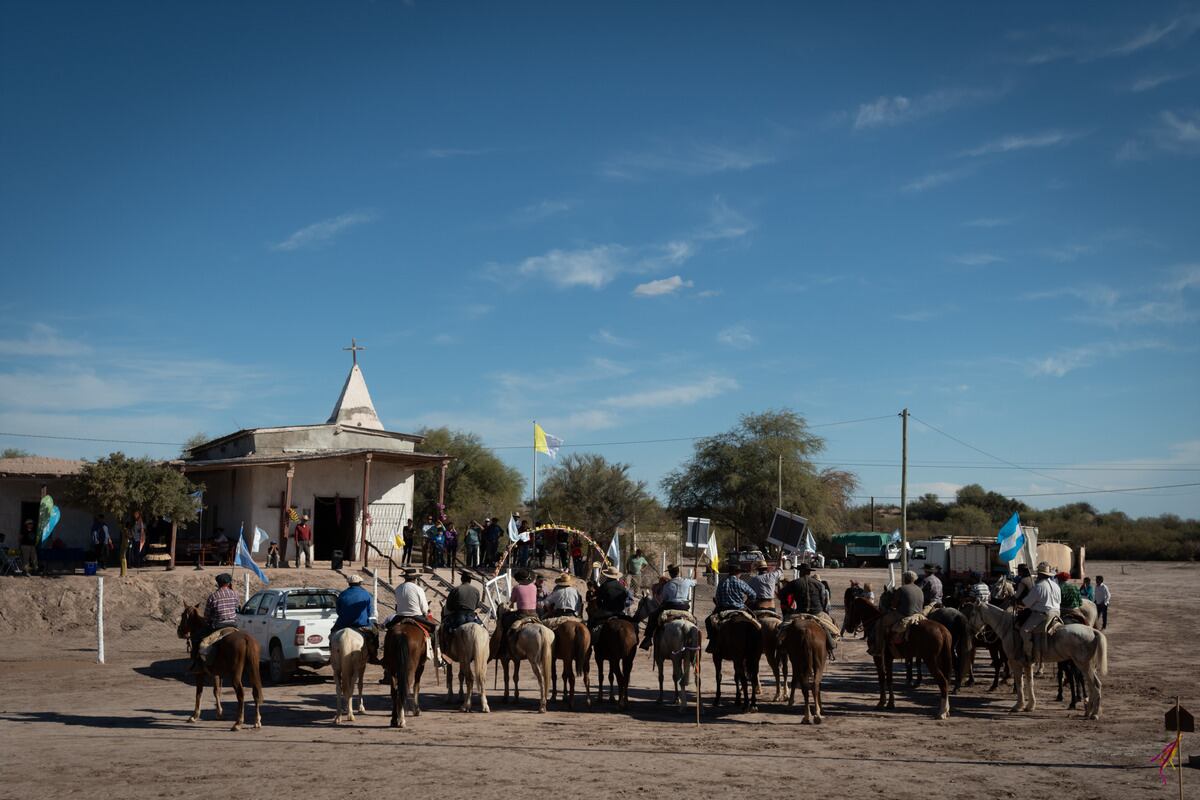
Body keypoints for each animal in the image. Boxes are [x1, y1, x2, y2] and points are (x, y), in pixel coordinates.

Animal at [175, 606, 262, 734]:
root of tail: (246, 639)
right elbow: (217, 691)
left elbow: (199, 693)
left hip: (235, 674)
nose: (179, 631)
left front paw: (194, 716)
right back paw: (257, 721)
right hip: (252, 669)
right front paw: (219, 713)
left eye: (183, 615)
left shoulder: (200, 673)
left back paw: (238, 723)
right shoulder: (217, 674)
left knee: (240, 694)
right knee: (255, 691)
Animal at [964, 604, 1104, 724]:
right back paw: (1088, 711)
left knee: (1095, 685)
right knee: (1091, 685)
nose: (970, 631)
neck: (1008, 627)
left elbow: (1020, 684)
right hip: (1086, 666)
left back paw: (1094, 714)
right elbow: (1029, 683)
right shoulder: (1028, 664)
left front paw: (1018, 706)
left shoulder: (1015, 662)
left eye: (972, 614)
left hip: (1083, 665)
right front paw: (1030, 706)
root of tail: (1093, 631)